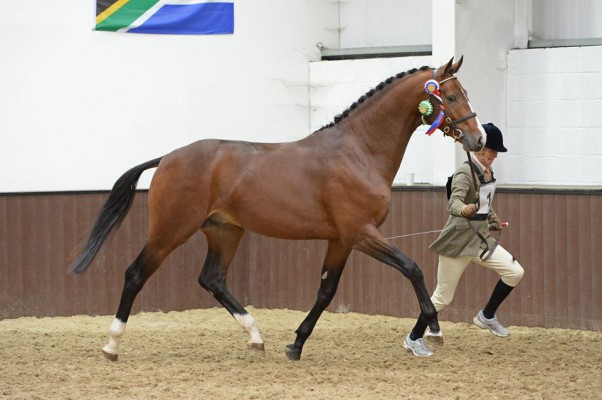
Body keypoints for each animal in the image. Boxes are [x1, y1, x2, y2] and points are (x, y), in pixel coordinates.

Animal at [69, 57, 482, 362]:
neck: (358, 152)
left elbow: (326, 292)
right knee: (135, 274)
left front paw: (296, 344)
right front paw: (433, 328)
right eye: (452, 97)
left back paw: (256, 337)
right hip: (171, 230)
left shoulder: (341, 240)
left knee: (212, 279)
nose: (477, 140)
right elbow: (412, 268)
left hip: (224, 231)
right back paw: (111, 345)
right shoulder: (361, 233)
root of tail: (168, 157)